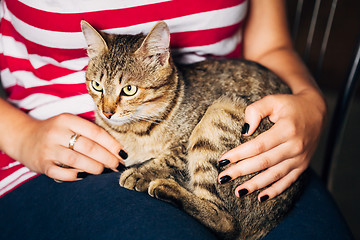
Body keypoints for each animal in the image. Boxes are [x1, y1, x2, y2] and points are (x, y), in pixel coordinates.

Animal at [81, 21, 304, 240]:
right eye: (97, 85)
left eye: (129, 90)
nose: (106, 112)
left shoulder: (185, 143)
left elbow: (169, 159)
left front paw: (140, 173)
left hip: (220, 114)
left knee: (228, 223)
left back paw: (166, 188)